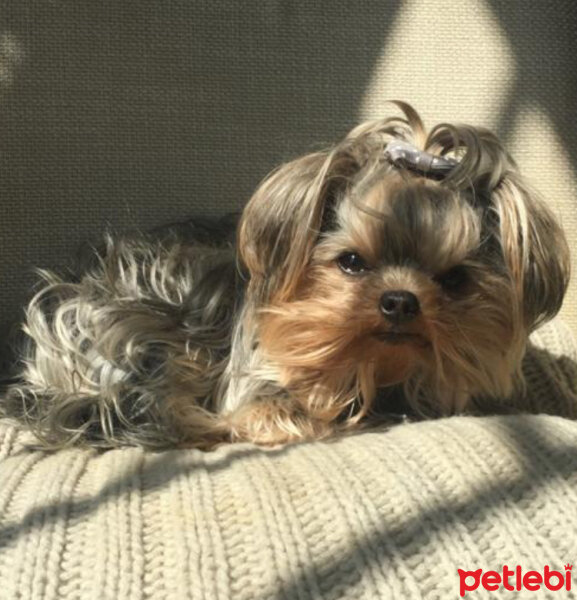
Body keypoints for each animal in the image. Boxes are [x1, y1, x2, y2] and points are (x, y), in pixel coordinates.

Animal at [1, 103, 568, 448]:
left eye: (453, 279)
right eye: (352, 262)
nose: (400, 301)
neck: (374, 368)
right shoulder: (256, 383)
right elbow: (276, 410)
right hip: (149, 332)